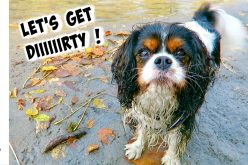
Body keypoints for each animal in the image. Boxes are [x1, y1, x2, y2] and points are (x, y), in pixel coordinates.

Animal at [111, 3, 245, 164]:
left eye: (181, 52)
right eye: (143, 52)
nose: (163, 60)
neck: (160, 92)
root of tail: (201, 21)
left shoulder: (185, 114)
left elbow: (176, 137)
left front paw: (171, 157)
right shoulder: (142, 106)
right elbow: (143, 127)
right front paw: (137, 146)